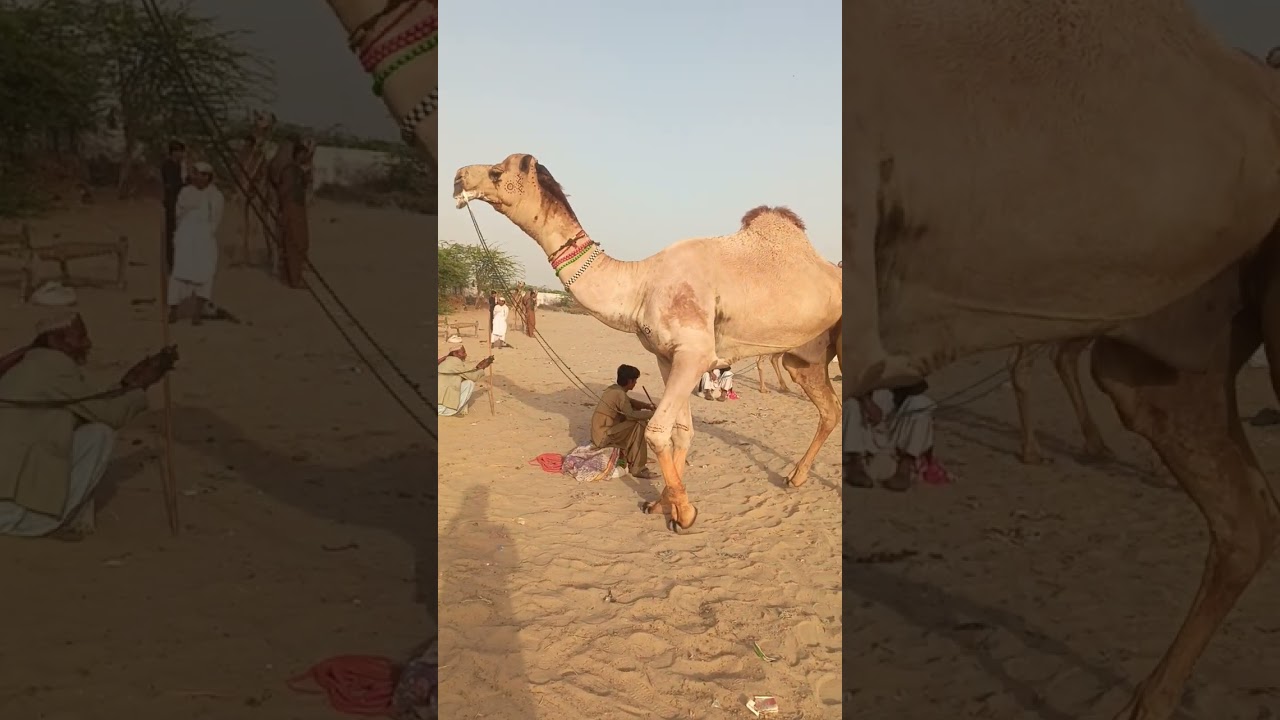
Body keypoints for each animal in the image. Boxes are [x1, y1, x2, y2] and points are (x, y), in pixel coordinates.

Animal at [454, 154, 841, 531]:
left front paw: (685, 514)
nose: (458, 177)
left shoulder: (695, 353)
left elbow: (657, 431)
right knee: (829, 409)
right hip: (805, 358)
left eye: (497, 171)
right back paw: (795, 477)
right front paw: (662, 504)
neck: (640, 285)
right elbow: (682, 431)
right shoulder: (666, 357)